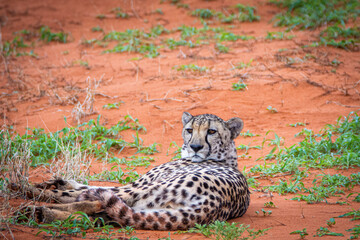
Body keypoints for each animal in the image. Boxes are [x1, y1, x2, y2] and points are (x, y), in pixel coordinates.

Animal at [19, 112, 250, 231]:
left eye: (211, 131)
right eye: (189, 130)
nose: (195, 147)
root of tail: (214, 203)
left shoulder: (138, 184)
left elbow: (88, 189)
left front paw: (35, 186)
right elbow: (88, 185)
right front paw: (58, 180)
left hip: (147, 190)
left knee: (94, 202)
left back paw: (33, 203)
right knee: (100, 215)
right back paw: (43, 213)